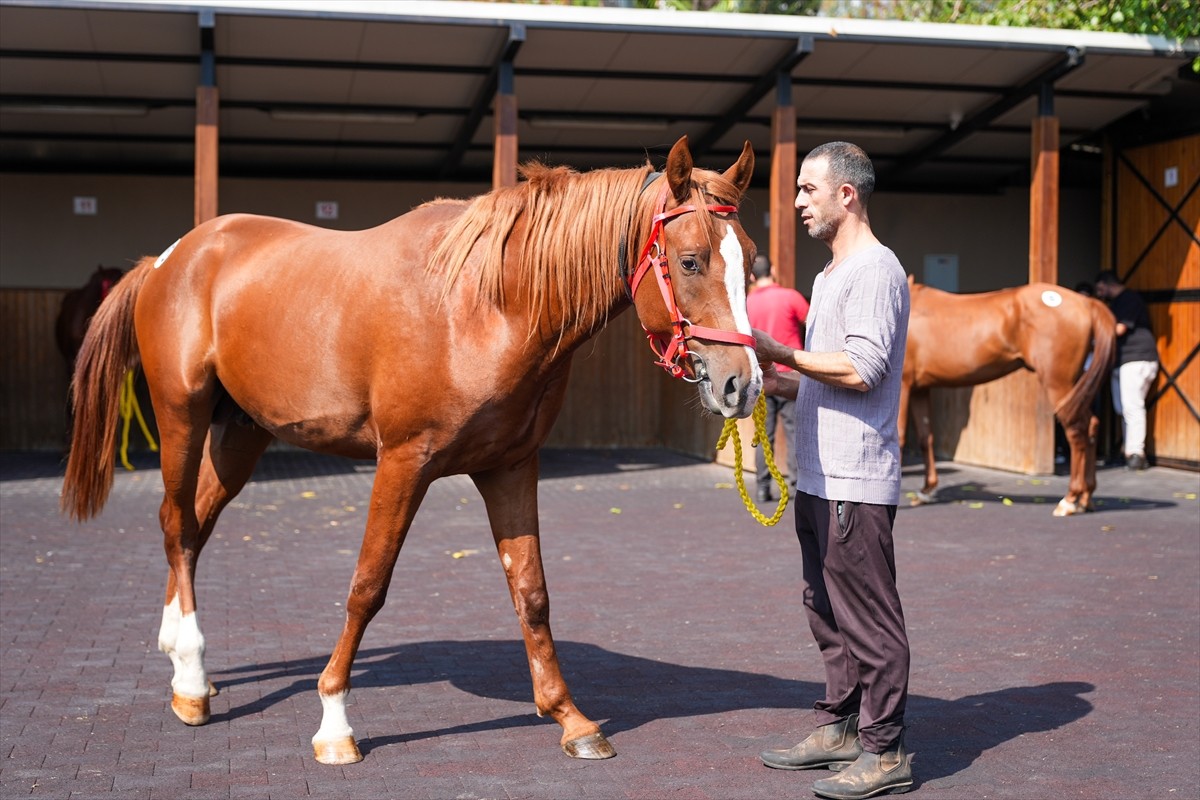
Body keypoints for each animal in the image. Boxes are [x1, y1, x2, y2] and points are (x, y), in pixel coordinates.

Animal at [60, 137, 758, 762]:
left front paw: (571, 718)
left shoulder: (509, 466)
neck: (484, 305)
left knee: (194, 525)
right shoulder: (403, 462)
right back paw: (189, 682)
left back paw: (184, 659)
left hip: (242, 432)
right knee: (178, 524)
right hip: (182, 414)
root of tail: (167, 260)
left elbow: (531, 593)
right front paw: (334, 721)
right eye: (690, 260)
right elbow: (368, 585)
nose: (742, 384)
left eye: (749, 259)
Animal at [902, 281, 1118, 515]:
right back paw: (1085, 499)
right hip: (1076, 388)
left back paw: (1069, 500)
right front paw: (927, 490)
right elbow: (925, 438)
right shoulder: (919, 389)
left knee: (1076, 430)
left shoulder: (903, 386)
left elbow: (899, 436)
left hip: (1059, 384)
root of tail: (1085, 302)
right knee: (1091, 425)